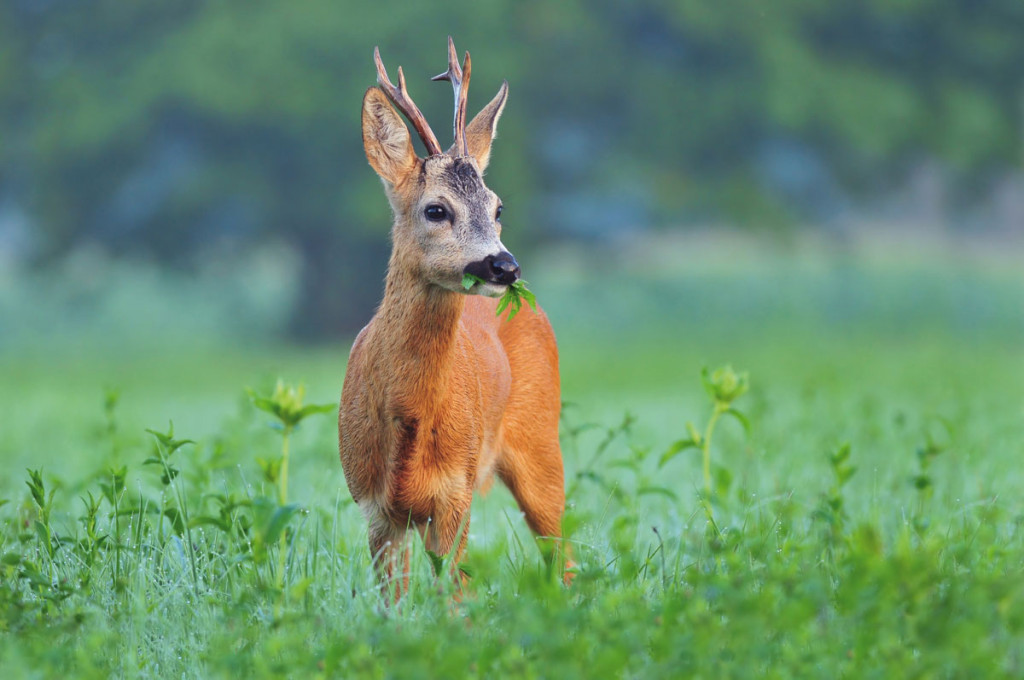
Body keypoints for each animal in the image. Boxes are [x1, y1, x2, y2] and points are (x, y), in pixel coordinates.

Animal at [339, 39, 573, 598]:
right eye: (436, 209)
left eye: (498, 206)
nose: (505, 266)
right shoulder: (375, 510)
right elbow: (392, 605)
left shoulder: (456, 497)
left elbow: (456, 599)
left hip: (541, 442)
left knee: (565, 552)